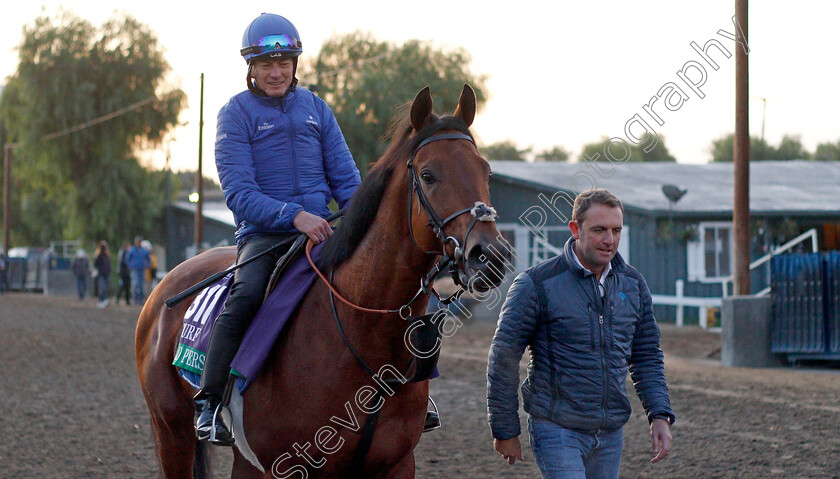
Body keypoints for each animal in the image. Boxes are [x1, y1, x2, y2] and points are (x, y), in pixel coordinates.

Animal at [135, 84, 508, 478]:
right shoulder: (291, 466)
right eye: (428, 174)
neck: (361, 333)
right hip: (171, 432)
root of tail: (163, 288)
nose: (489, 254)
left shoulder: (397, 463)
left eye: (486, 171)